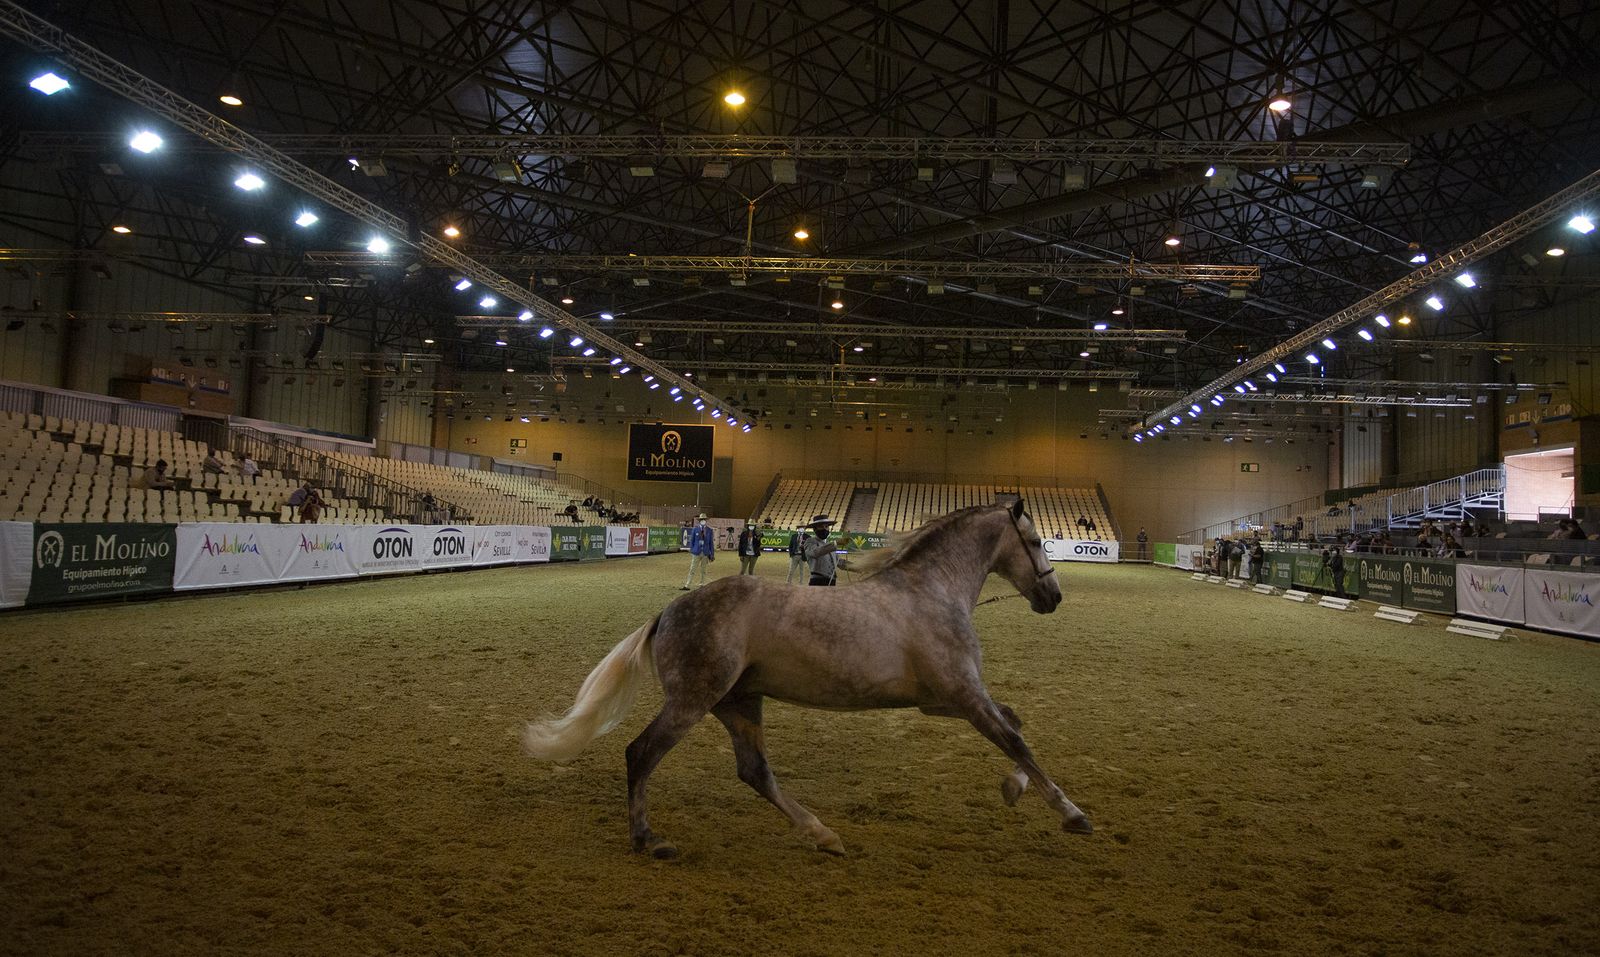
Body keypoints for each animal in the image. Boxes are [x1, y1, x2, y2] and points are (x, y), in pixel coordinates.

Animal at [522, 500, 1093, 858]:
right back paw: (648, 839)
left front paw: (1013, 790)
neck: (931, 592)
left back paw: (823, 835)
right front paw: (1072, 814)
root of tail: (667, 612)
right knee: (641, 753)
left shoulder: (945, 700)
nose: (1053, 596)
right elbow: (1017, 740)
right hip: (694, 700)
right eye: (1036, 541)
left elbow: (1015, 727)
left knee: (754, 771)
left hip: (739, 703)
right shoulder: (965, 696)